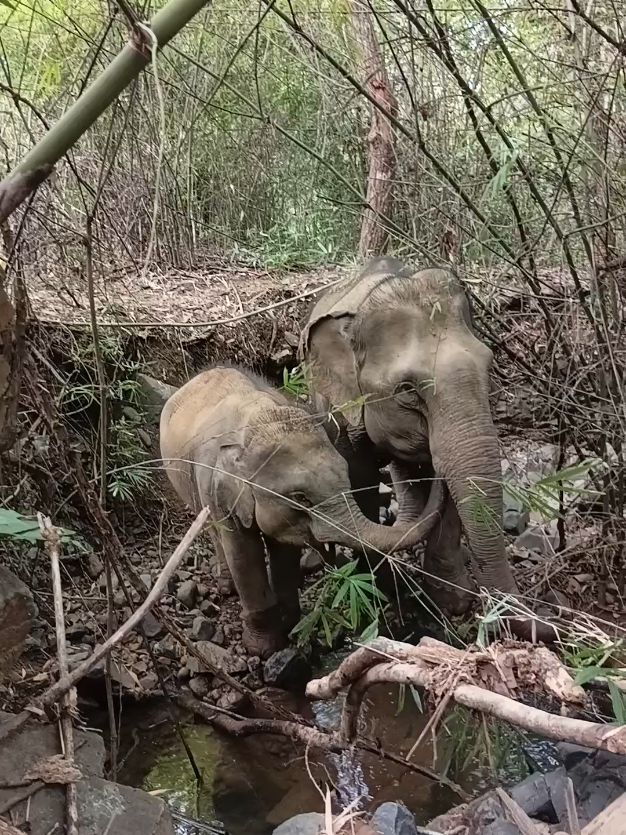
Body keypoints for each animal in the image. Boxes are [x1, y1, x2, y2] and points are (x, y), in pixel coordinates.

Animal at [160, 365, 446, 658]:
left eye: (346, 475)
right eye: (300, 497)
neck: (258, 418)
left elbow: (284, 549)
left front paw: (290, 625)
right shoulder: (217, 491)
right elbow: (243, 553)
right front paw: (263, 649)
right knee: (213, 531)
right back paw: (227, 586)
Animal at [301, 257, 553, 640]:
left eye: (489, 366)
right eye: (407, 389)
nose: (551, 621)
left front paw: (452, 599)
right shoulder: (339, 408)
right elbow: (358, 480)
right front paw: (382, 593)